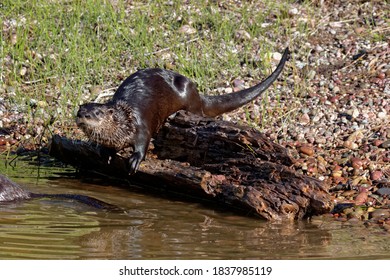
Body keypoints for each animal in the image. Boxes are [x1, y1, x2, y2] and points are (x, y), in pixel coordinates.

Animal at [76, 48, 290, 175]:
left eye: (97, 113)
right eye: (81, 109)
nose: (82, 115)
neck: (124, 121)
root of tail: (198, 94)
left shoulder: (140, 125)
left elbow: (144, 142)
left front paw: (135, 159)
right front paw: (105, 152)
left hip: (188, 98)